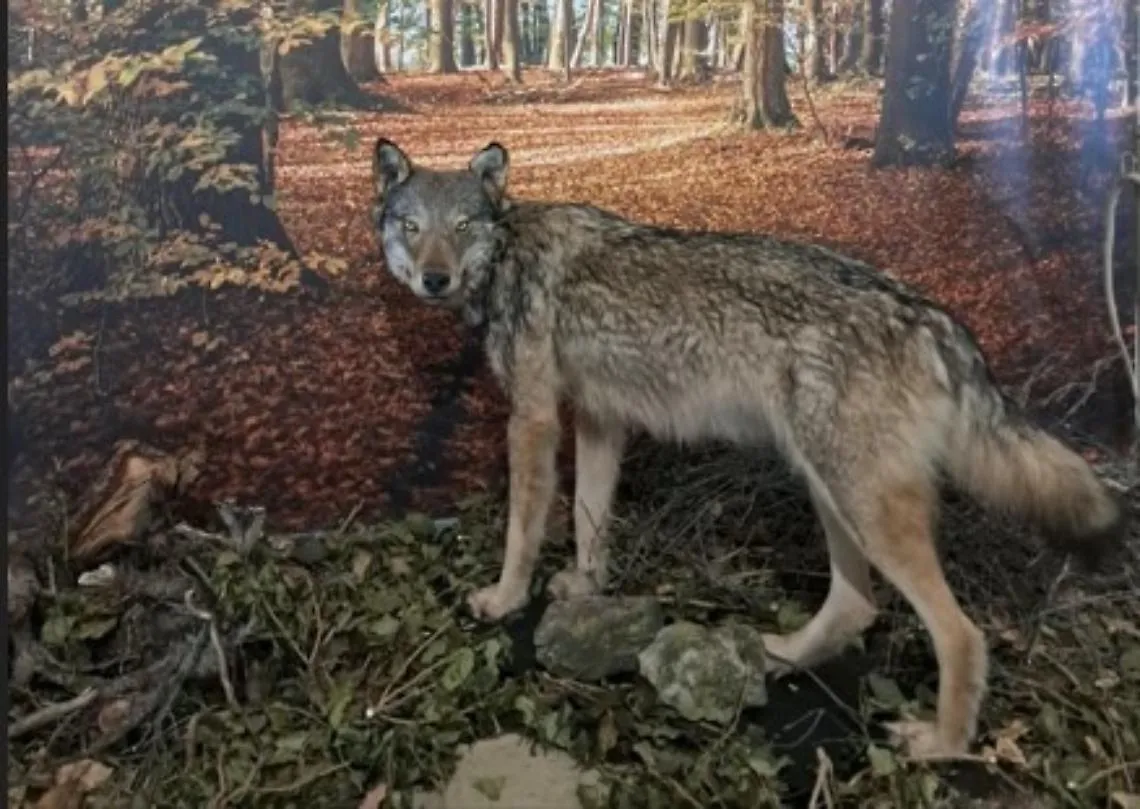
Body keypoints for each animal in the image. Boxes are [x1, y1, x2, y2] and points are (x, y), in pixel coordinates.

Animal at [369, 137, 1128, 760]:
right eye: (413, 227)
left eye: (461, 226)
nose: (434, 278)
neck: (506, 257)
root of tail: (935, 317)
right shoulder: (599, 419)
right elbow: (589, 519)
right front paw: (585, 586)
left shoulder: (532, 421)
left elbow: (523, 530)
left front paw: (503, 600)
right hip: (826, 484)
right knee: (857, 605)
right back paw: (781, 655)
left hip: (858, 499)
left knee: (960, 632)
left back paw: (940, 744)